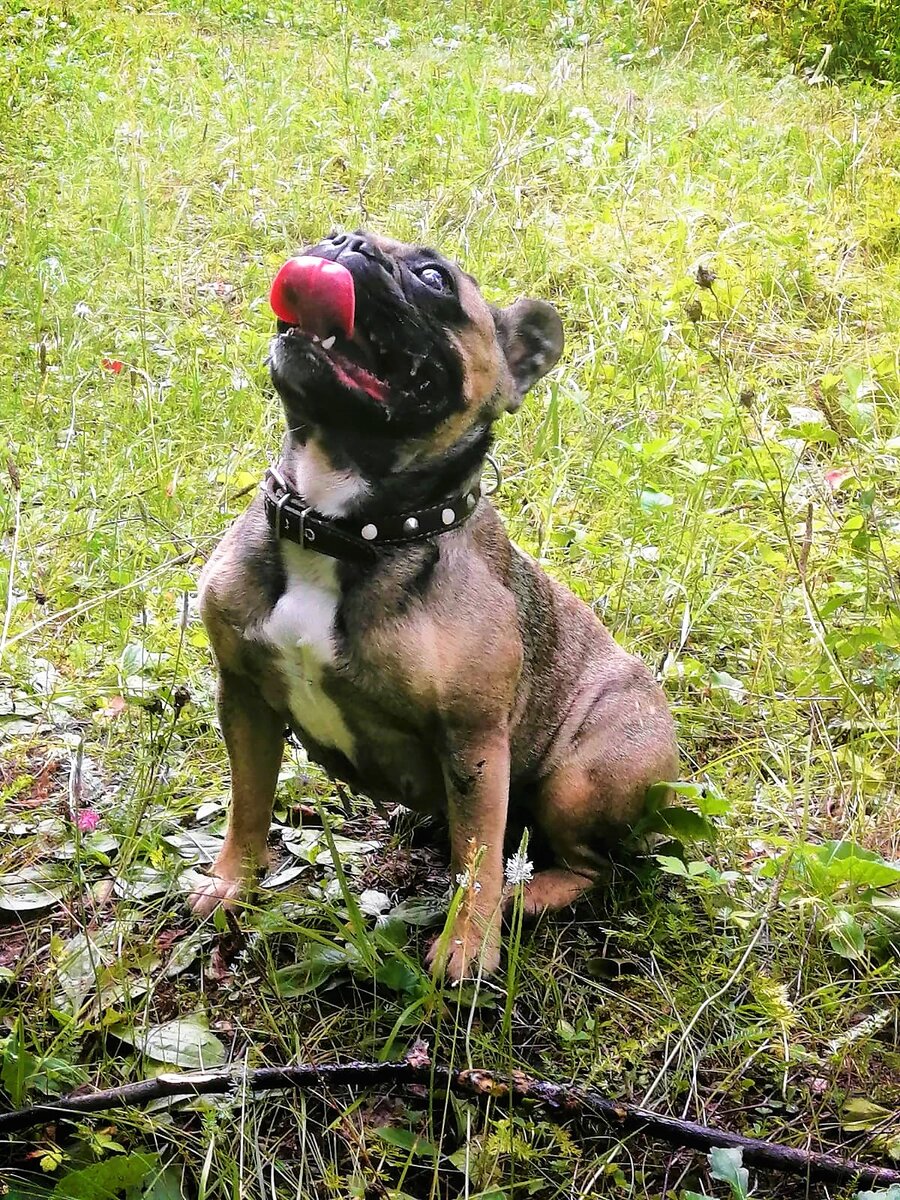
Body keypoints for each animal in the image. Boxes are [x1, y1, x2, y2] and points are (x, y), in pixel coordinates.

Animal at [192, 231, 681, 984]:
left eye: (432, 278)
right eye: (335, 233)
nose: (344, 243)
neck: (342, 524)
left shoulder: (473, 741)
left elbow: (476, 860)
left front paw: (466, 949)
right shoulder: (243, 697)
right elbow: (248, 803)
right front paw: (231, 884)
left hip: (580, 780)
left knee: (582, 865)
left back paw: (523, 897)